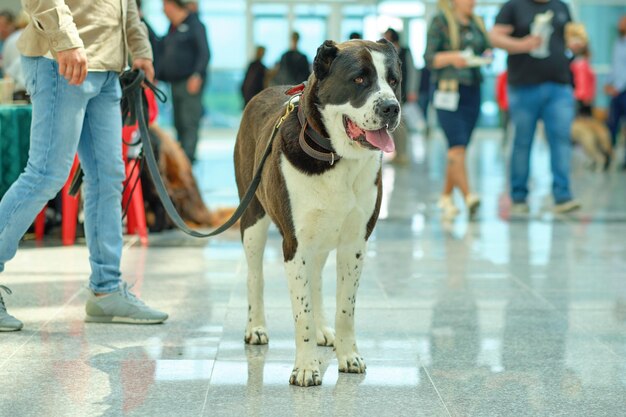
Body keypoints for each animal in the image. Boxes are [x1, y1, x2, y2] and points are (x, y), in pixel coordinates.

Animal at [233, 39, 400, 386]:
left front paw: (348, 355)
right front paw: (306, 367)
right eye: (360, 79)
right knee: (255, 276)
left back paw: (325, 330)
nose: (392, 108)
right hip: (253, 217)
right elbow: (302, 312)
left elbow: (345, 308)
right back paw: (256, 327)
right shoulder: (294, 244)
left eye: (394, 81)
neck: (335, 157)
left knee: (317, 278)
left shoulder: (354, 243)